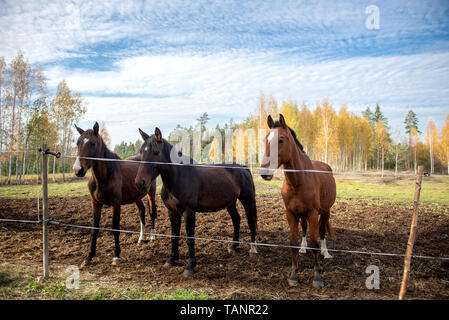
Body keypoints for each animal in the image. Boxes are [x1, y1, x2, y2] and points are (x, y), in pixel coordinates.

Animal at [72, 121, 157, 266]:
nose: (78, 170)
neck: (104, 176)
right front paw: (88, 257)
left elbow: (115, 228)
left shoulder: (115, 204)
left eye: (93, 143)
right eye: (78, 142)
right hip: (136, 196)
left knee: (152, 213)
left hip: (151, 193)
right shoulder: (95, 203)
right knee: (141, 211)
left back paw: (152, 237)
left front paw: (116, 256)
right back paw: (141, 238)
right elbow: (94, 229)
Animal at [135, 127, 258, 276]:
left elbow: (189, 238)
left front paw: (190, 266)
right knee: (236, 220)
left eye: (156, 152)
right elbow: (174, 235)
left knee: (250, 221)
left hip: (247, 200)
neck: (178, 178)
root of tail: (243, 168)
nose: (140, 183)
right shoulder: (172, 212)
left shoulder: (189, 212)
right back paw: (233, 246)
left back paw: (252, 249)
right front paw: (171, 260)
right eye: (141, 151)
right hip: (230, 203)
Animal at [258, 114, 334, 288]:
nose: (265, 172)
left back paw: (326, 252)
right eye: (266, 139)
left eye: (281, 140)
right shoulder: (291, 214)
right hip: (303, 215)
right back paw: (303, 248)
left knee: (322, 232)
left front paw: (317, 277)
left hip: (325, 212)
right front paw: (293, 275)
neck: (299, 181)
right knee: (305, 230)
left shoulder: (312, 214)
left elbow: (315, 244)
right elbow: (293, 242)